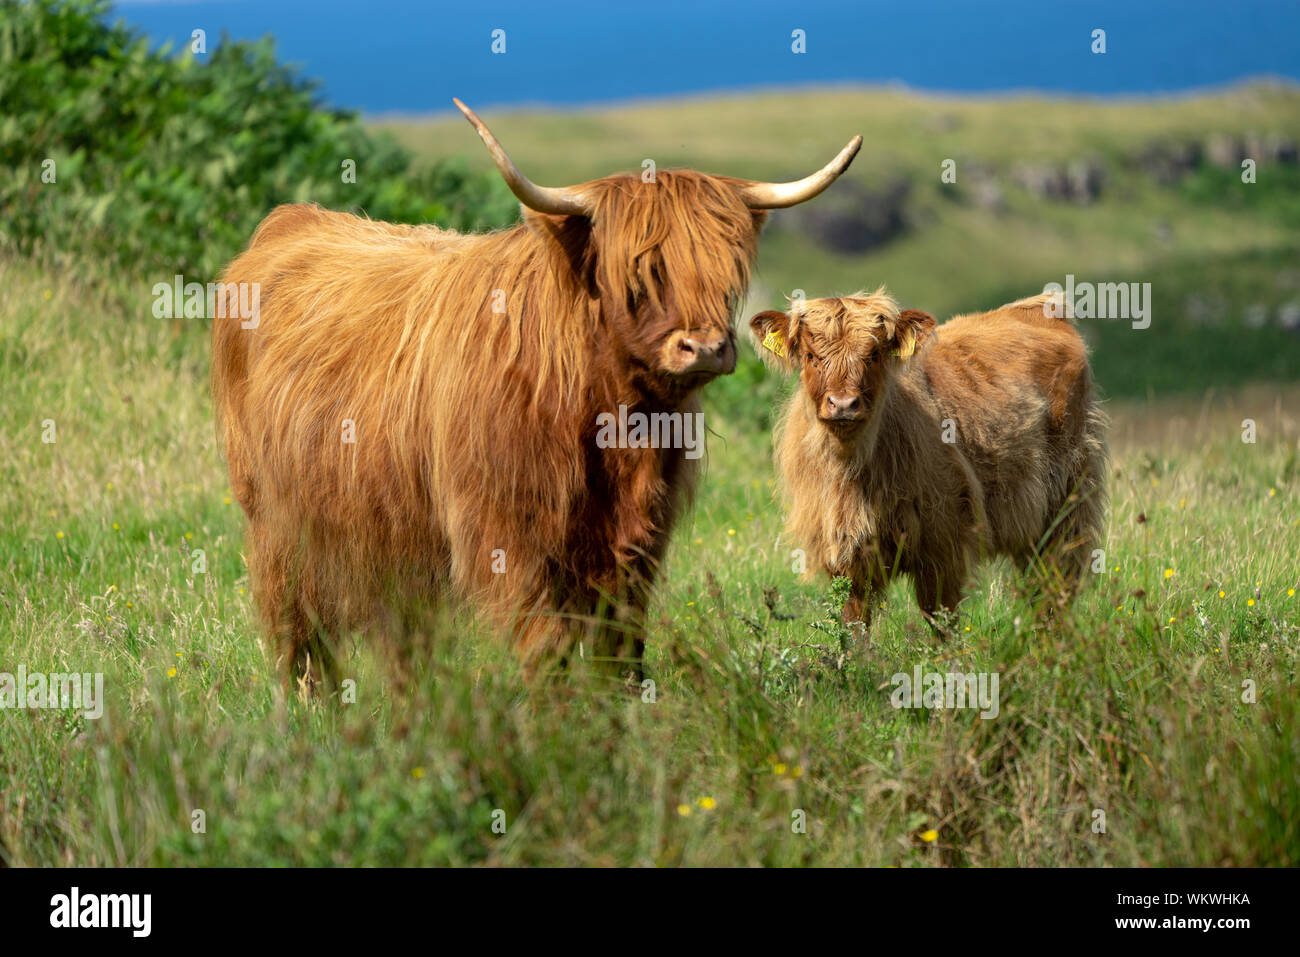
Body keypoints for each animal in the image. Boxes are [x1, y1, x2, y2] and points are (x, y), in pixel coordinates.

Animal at [211, 99, 861, 690]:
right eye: (638, 275)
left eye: (727, 275)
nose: (704, 347)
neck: (611, 420)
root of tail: (290, 220)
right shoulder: (506, 532)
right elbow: (544, 645)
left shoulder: (637, 540)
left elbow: (620, 648)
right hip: (276, 520)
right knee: (296, 627)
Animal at [749, 289, 1108, 631]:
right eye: (811, 356)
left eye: (873, 355)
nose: (843, 404)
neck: (850, 469)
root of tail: (1037, 307)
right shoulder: (847, 552)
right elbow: (854, 623)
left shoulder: (944, 544)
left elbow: (940, 622)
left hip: (1067, 506)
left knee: (1054, 587)